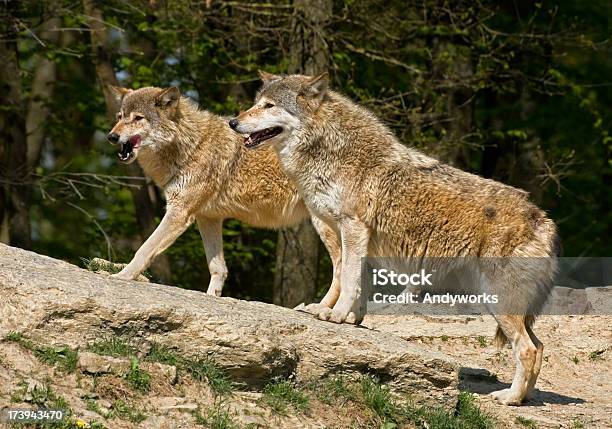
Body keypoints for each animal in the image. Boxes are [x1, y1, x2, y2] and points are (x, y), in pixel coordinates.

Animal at [107, 86, 342, 300]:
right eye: (120, 117)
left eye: (138, 118)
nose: (111, 136)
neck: (192, 146)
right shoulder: (208, 218)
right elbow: (218, 268)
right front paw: (212, 296)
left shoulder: (179, 213)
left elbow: (144, 249)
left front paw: (121, 276)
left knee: (342, 267)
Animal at [228, 71, 560, 404]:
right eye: (256, 103)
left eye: (268, 105)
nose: (232, 121)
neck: (329, 150)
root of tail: (544, 221)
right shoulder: (346, 234)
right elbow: (351, 281)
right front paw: (344, 316)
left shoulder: (352, 228)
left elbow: (347, 279)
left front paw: (335, 314)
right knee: (540, 346)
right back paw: (524, 398)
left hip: (497, 301)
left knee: (528, 349)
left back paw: (510, 398)